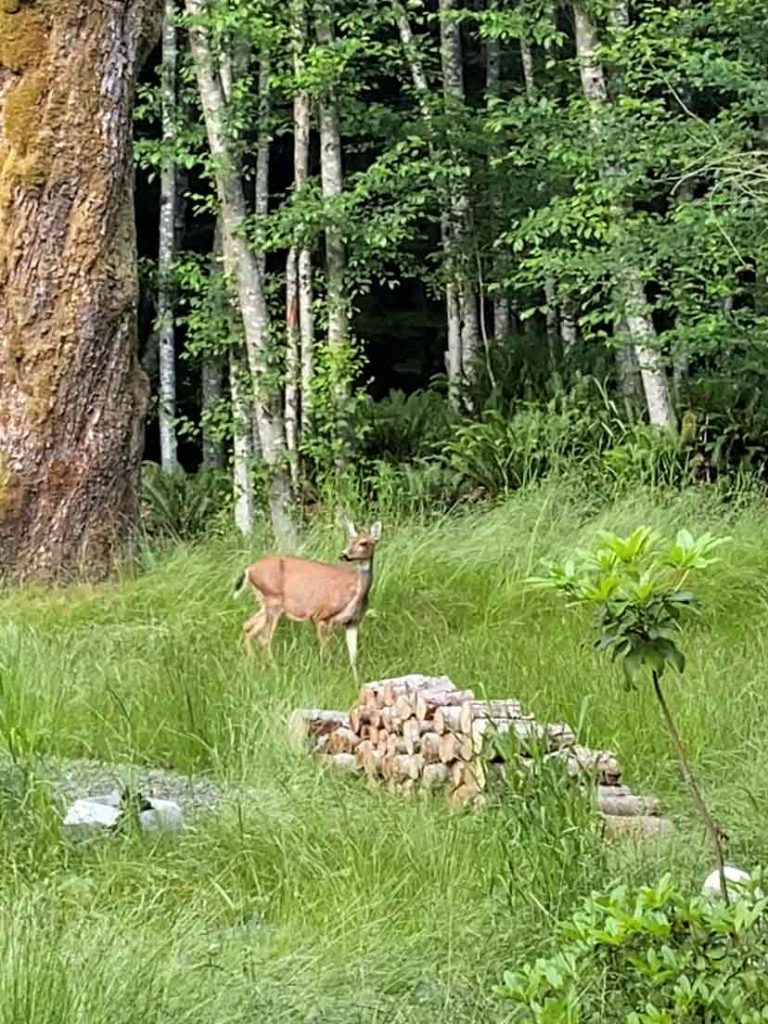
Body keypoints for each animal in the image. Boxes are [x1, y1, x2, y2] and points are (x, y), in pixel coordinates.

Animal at [231, 520, 382, 679]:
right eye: (350, 540)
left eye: (364, 543)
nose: (343, 554)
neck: (355, 594)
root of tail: (248, 569)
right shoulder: (321, 616)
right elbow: (325, 650)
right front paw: (326, 673)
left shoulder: (352, 622)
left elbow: (353, 656)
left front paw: (356, 680)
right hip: (273, 600)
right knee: (264, 638)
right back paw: (275, 670)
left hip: (265, 603)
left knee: (248, 627)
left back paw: (252, 665)